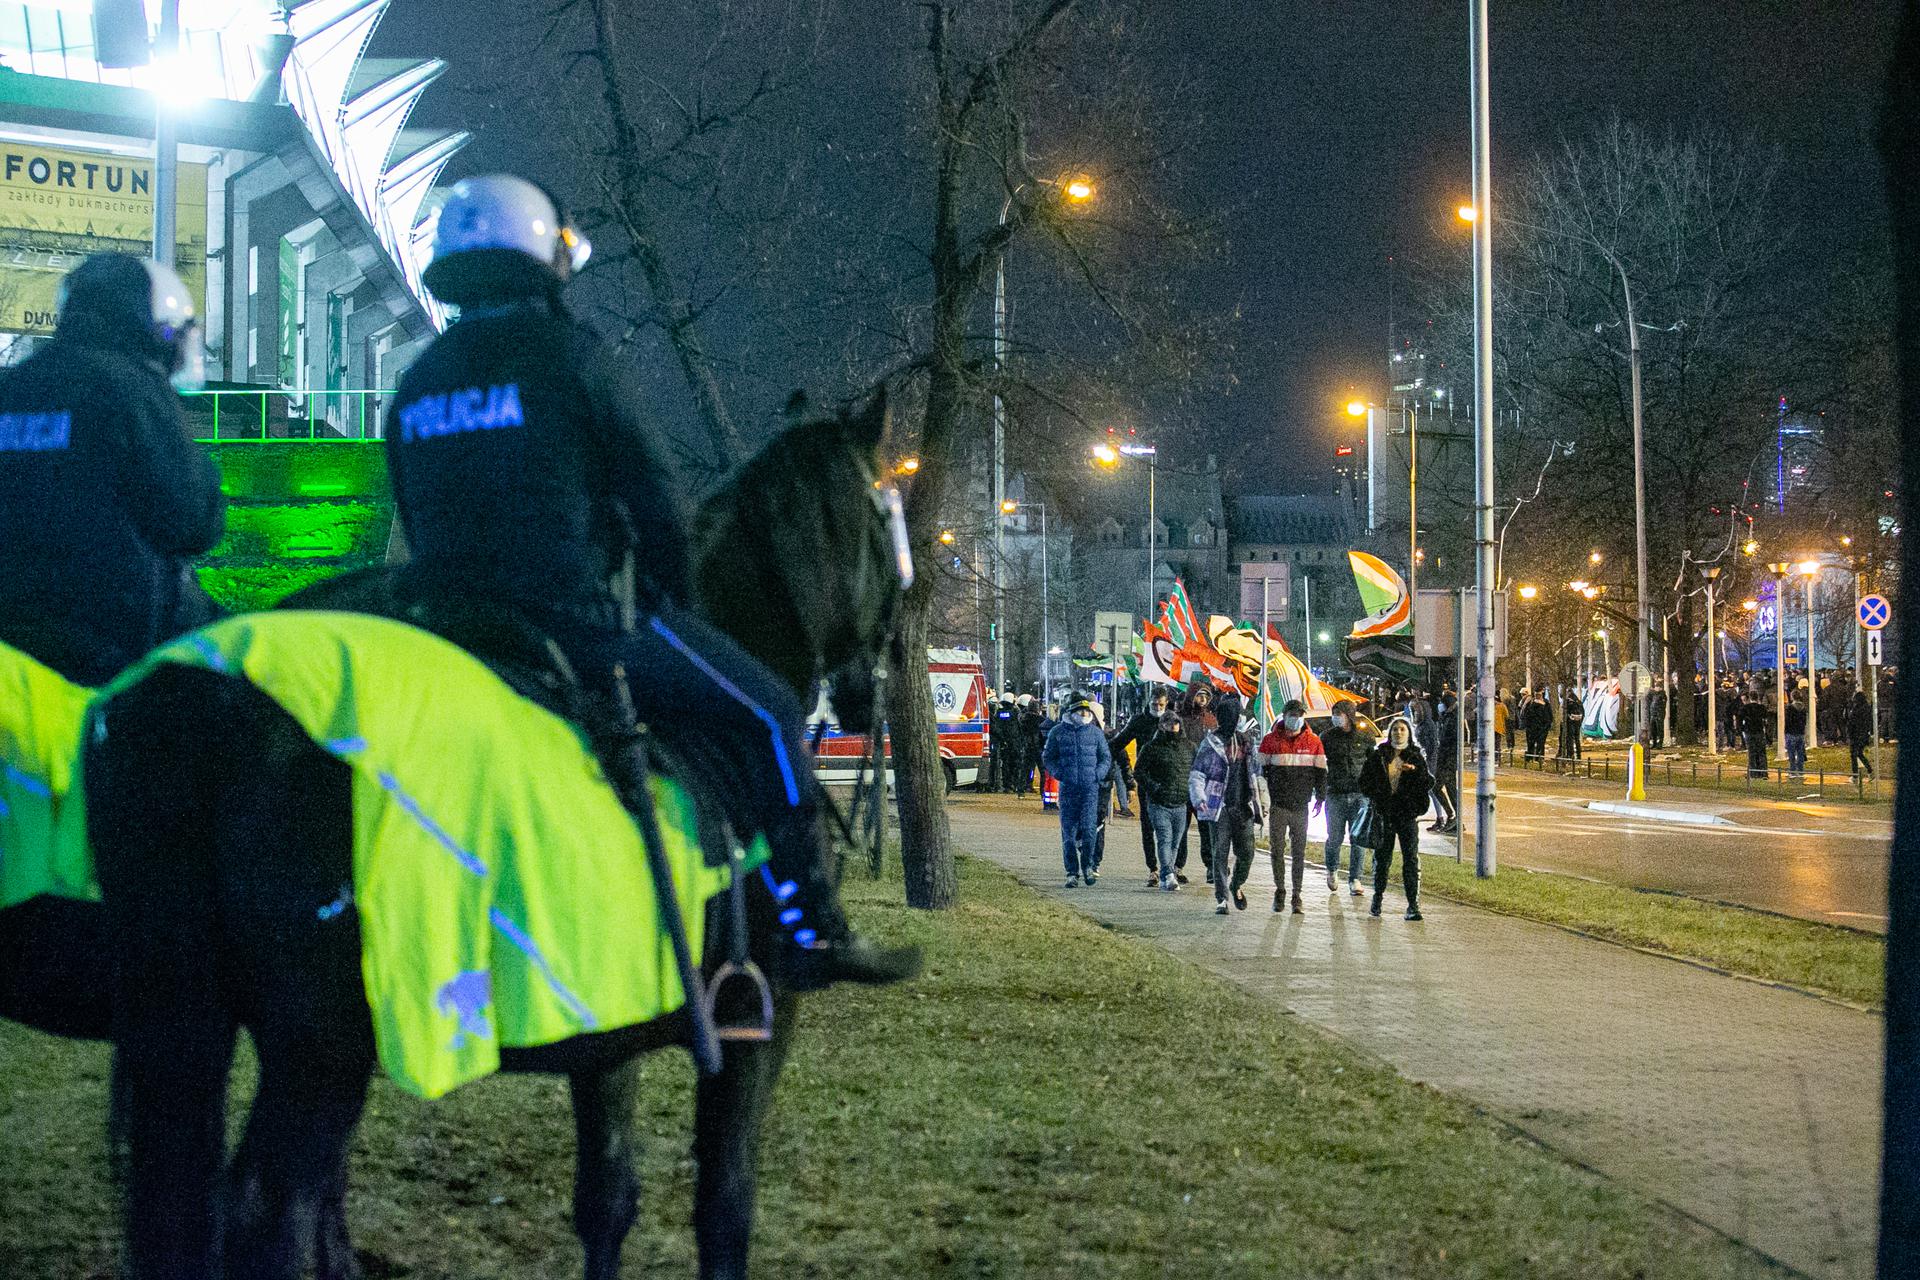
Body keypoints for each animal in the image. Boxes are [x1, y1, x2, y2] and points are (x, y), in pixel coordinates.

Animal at [72, 393, 906, 1280]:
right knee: (269, 1213)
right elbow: (725, 1202)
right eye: (886, 513)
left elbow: (608, 1197)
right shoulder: (758, 1020)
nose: (867, 691)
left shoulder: (609, 1028)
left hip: (192, 1019)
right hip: (321, 1046)